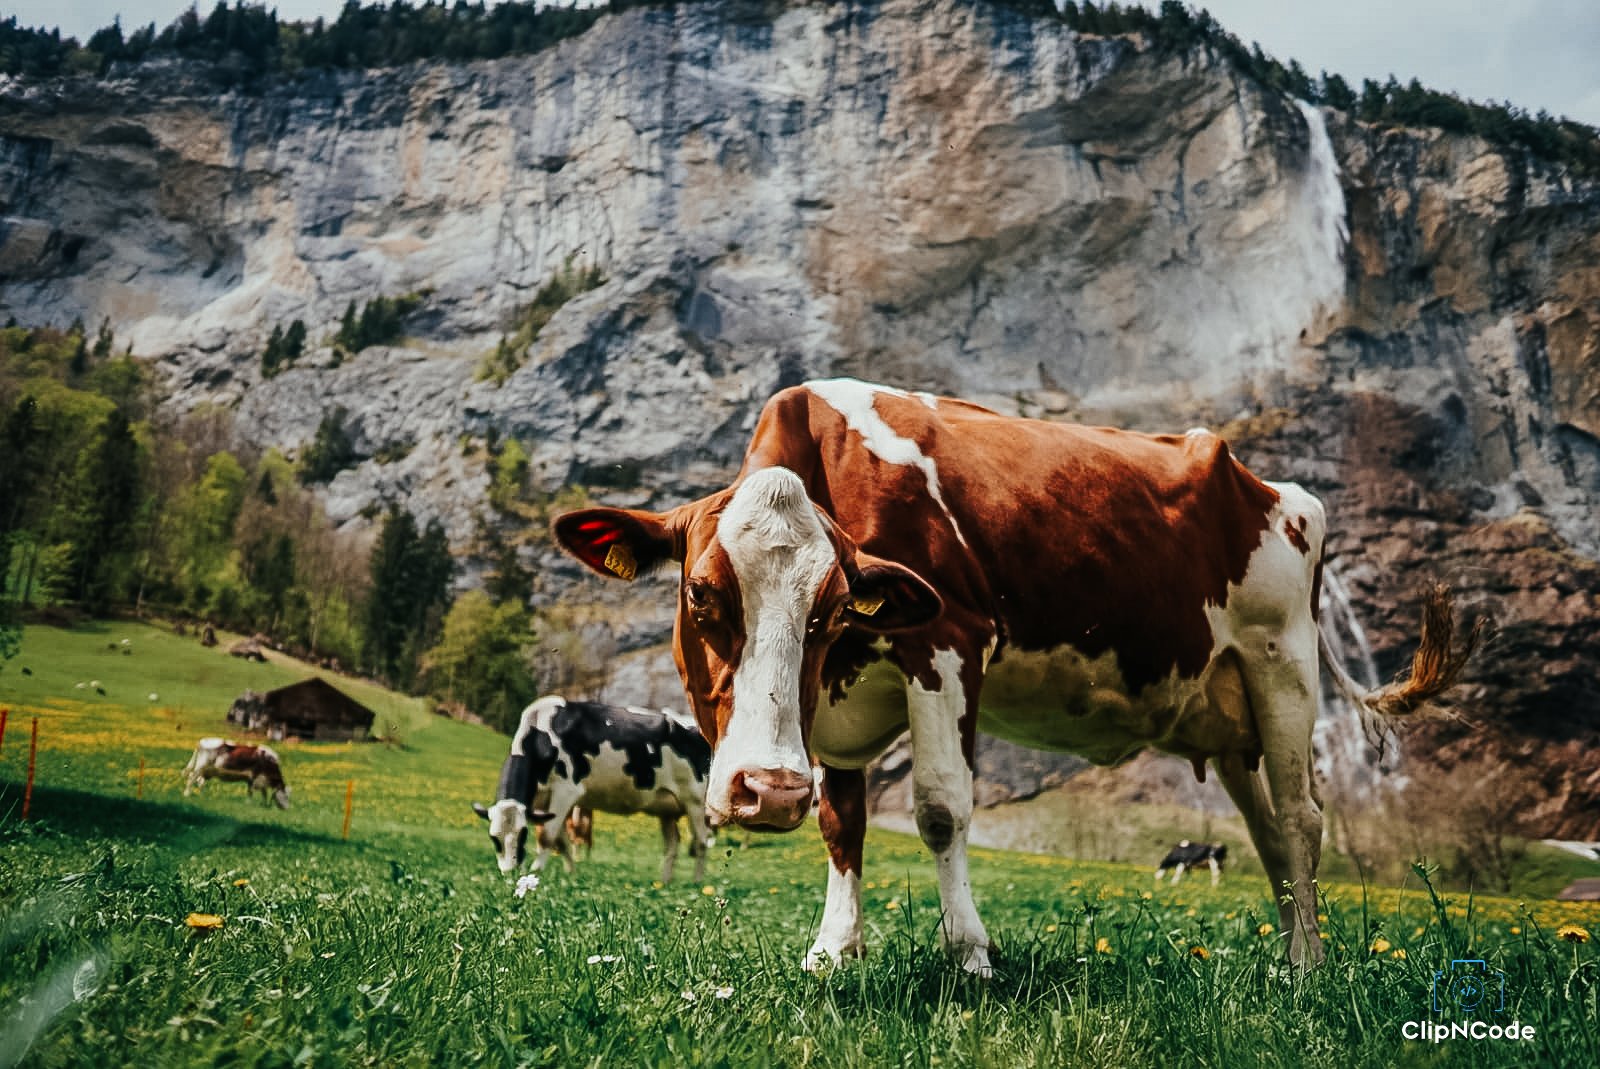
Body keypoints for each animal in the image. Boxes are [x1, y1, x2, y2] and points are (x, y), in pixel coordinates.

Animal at [473, 696, 714, 884]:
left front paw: (535, 873)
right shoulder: (542, 802)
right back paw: (664, 882)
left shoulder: (565, 792)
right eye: (494, 838)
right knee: (672, 845)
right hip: (666, 808)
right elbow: (561, 841)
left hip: (696, 802)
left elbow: (547, 837)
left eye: (522, 835)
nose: (508, 872)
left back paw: (697, 882)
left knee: (701, 842)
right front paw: (570, 873)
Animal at [551, 378, 1482, 974]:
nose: (765, 790)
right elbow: (842, 822)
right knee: (1266, 835)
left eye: (833, 608)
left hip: (1280, 662)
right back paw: (1289, 957)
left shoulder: (950, 643)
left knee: (1301, 820)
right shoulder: (836, 715)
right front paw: (834, 950)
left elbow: (940, 809)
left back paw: (1310, 966)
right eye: (701, 592)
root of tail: (1271, 485)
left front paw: (971, 954)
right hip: (1229, 716)